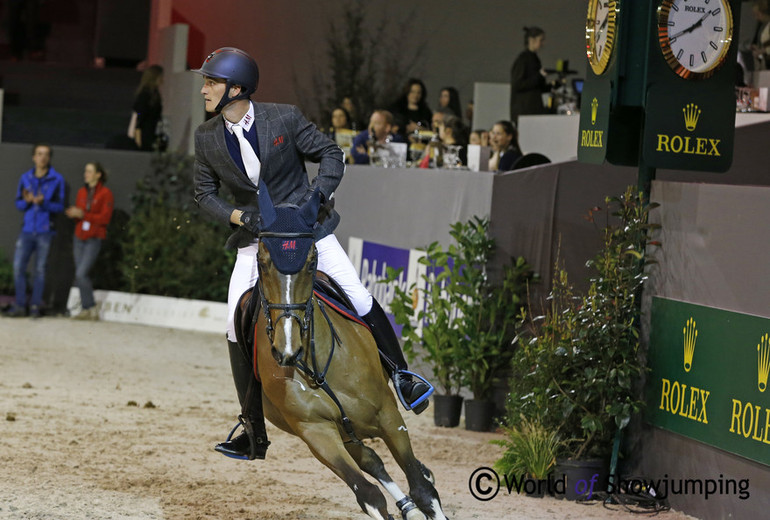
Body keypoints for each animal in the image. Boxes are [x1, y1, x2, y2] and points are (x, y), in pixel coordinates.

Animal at [237, 187, 448, 520]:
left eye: (312, 261)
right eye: (261, 260)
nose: (286, 350)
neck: (317, 367)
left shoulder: (388, 415)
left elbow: (422, 488)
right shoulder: (318, 434)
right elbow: (369, 495)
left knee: (400, 469)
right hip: (346, 435)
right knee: (371, 461)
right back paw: (408, 508)